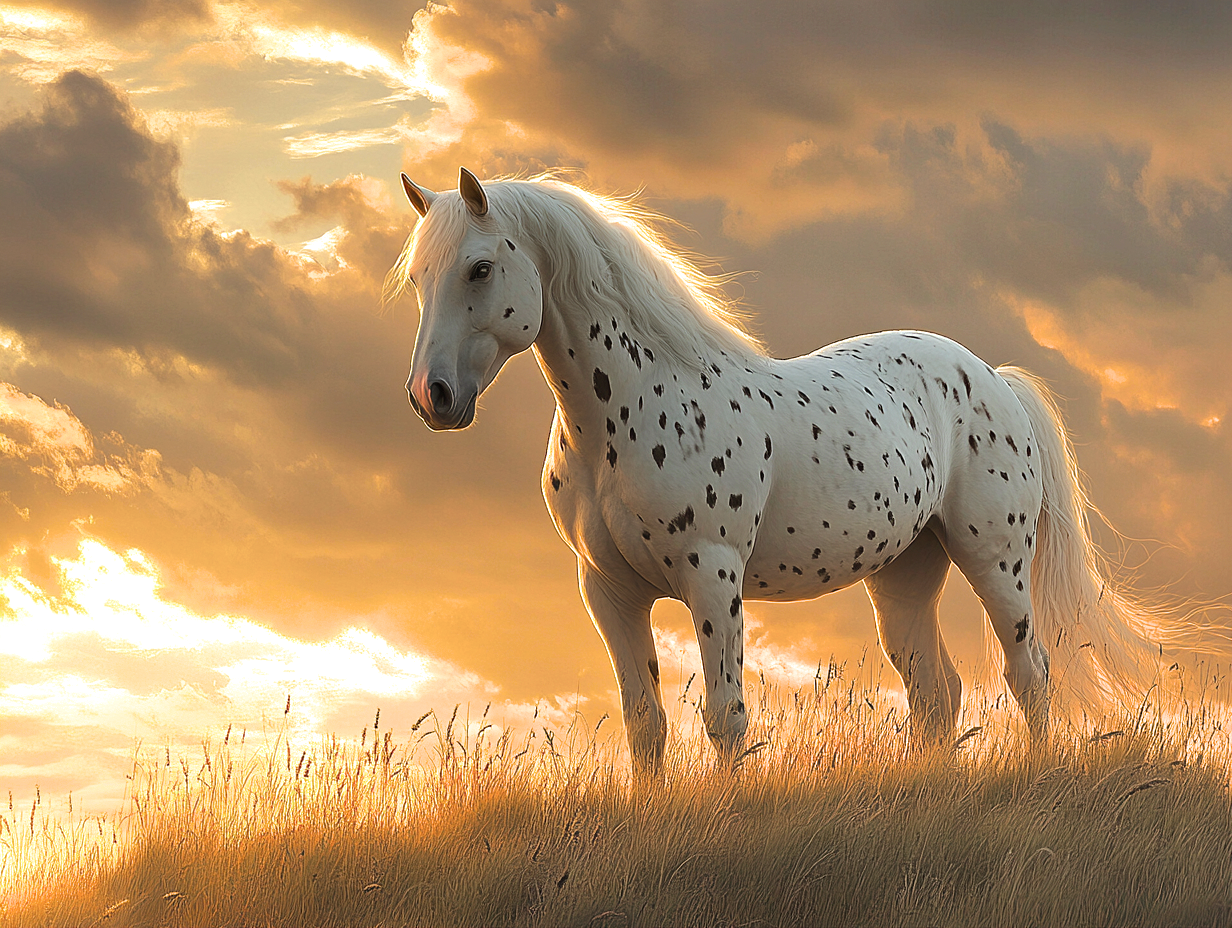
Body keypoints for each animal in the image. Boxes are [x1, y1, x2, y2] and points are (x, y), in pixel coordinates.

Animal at [387, 167, 1218, 769]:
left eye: (480, 268)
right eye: (419, 279)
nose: (431, 398)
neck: (633, 407)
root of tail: (994, 378)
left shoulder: (711, 577)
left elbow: (725, 717)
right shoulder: (608, 590)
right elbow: (644, 723)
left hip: (995, 560)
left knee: (1028, 675)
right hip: (905, 575)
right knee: (937, 694)